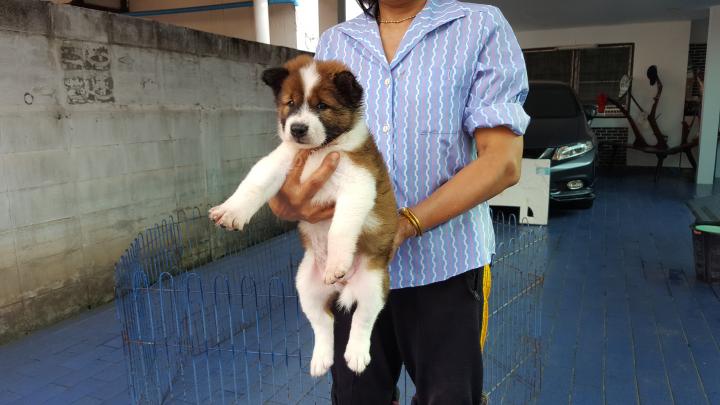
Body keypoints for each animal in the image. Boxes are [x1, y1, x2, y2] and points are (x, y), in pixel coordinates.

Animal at [209, 55, 397, 376]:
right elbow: (254, 183)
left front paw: (337, 262)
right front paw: (231, 211)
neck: (320, 151)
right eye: (290, 104)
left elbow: (340, 228)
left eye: (322, 106)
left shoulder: (358, 184)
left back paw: (356, 354)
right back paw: (321, 358)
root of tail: (342, 288)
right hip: (305, 285)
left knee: (363, 319)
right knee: (324, 322)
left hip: (373, 283)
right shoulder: (279, 162)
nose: (296, 128)